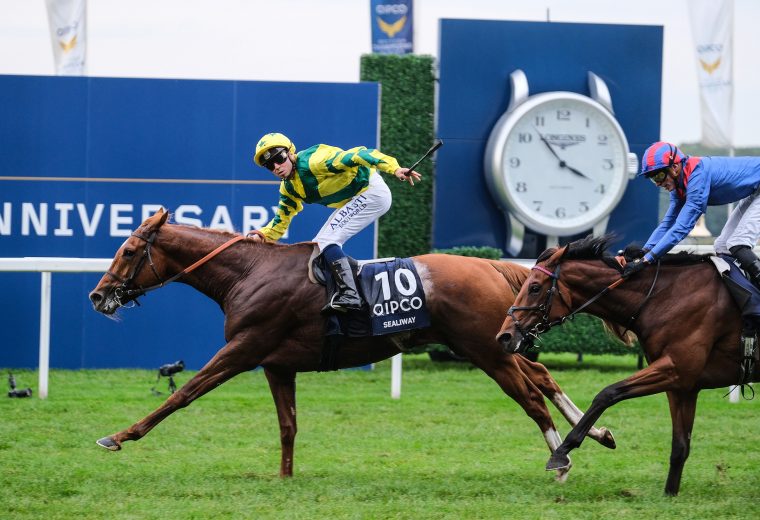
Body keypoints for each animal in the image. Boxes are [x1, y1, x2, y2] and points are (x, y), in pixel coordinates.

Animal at [92, 208, 620, 480]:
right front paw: (285, 478)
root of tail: (490, 266)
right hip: (494, 343)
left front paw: (118, 436)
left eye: (130, 250)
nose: (98, 295)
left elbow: (183, 393)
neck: (249, 273)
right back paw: (594, 433)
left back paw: (560, 460)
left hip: (486, 351)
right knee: (543, 376)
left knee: (531, 397)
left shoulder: (244, 349)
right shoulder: (277, 364)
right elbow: (288, 425)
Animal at [498, 236, 756, 496]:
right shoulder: (683, 385)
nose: (504, 336)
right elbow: (680, 446)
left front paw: (562, 452)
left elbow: (607, 393)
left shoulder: (676, 368)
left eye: (534, 287)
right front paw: (669, 494)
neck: (665, 297)